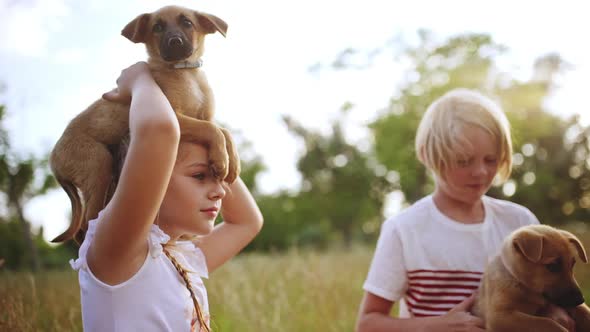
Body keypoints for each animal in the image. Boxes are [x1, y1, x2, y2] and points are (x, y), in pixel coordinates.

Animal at [50, 5, 240, 244]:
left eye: (187, 23)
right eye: (157, 28)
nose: (175, 41)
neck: (185, 72)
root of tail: (53, 160)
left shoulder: (204, 116)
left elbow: (224, 132)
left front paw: (232, 161)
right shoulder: (176, 117)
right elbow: (213, 130)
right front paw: (222, 161)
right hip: (98, 163)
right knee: (86, 224)